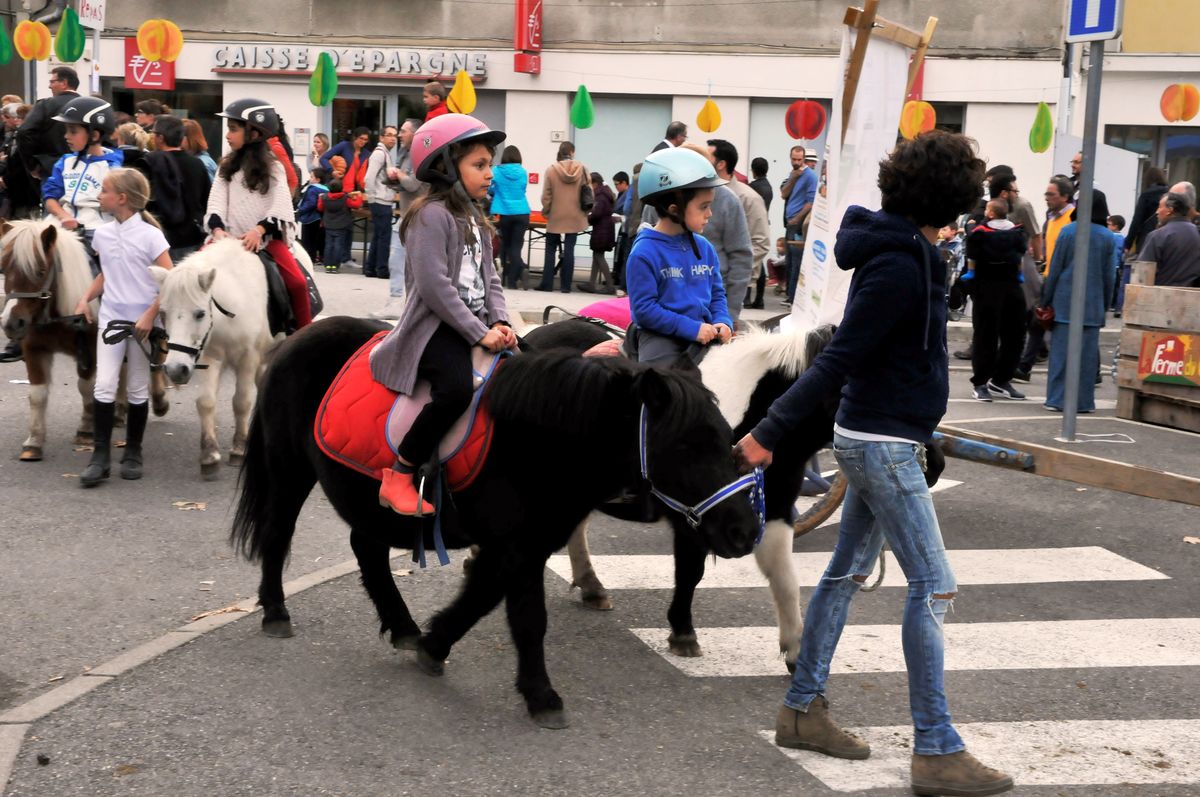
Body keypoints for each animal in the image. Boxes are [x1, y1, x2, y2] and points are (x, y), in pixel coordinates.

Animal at [0, 220, 170, 463]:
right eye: (4, 269)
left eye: (40, 271)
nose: (11, 323)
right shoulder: (34, 349)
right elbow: (37, 395)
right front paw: (34, 441)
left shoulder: (91, 349)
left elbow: (86, 387)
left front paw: (86, 430)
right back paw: (119, 411)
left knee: (155, 361)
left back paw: (159, 400)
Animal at [152, 237, 309, 480]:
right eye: (163, 313)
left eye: (200, 313)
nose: (176, 369)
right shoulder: (209, 358)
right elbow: (205, 402)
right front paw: (209, 453)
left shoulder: (248, 358)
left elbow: (241, 402)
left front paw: (239, 448)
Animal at [234, 314, 758, 724]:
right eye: (687, 445)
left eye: (725, 434)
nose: (744, 530)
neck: (535, 438)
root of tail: (296, 338)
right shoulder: (519, 547)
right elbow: (527, 618)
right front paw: (541, 695)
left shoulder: (519, 544)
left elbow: (479, 599)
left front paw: (433, 645)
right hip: (289, 468)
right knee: (278, 533)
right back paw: (276, 612)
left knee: (367, 550)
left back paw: (403, 627)